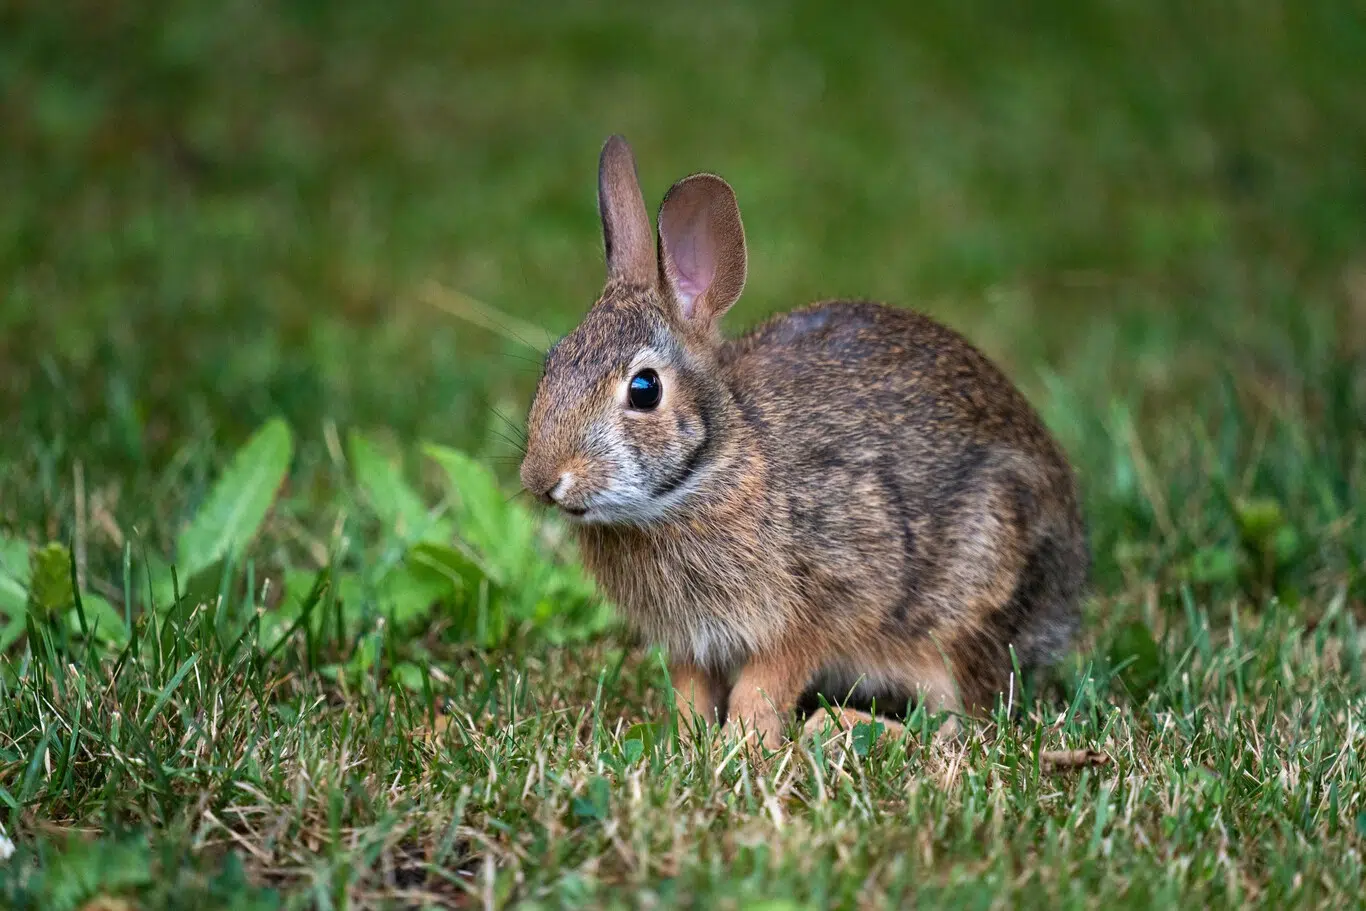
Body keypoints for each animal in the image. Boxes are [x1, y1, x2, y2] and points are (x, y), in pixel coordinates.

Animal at [519, 135, 1089, 750]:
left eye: (644, 389)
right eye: (552, 364)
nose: (543, 480)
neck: (711, 470)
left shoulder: (821, 604)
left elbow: (767, 682)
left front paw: (744, 745)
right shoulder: (689, 643)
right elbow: (691, 690)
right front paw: (688, 743)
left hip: (966, 606)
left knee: (960, 725)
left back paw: (837, 726)